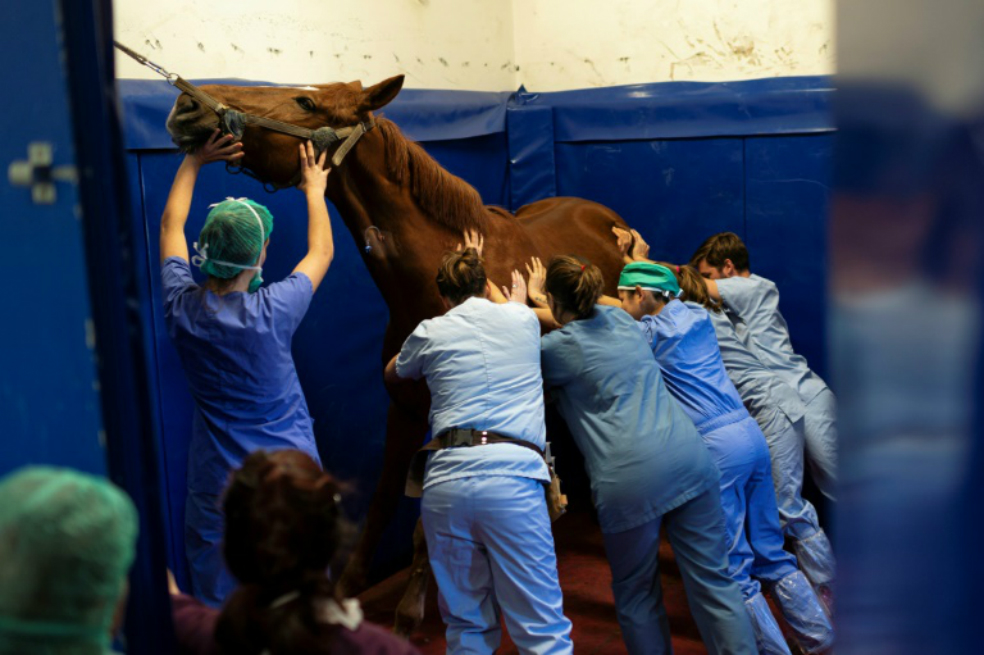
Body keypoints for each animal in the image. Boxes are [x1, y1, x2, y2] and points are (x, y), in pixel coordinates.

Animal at [166, 74, 632, 634]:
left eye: (306, 101)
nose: (186, 103)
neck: (441, 277)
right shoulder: (404, 409)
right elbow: (385, 499)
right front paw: (348, 589)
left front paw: (412, 607)